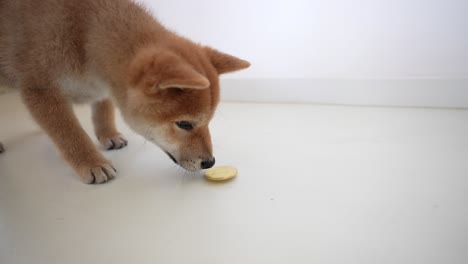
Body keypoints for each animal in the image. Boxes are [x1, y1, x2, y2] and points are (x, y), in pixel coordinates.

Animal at [0, 0, 250, 184]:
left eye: (209, 121)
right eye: (184, 124)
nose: (210, 163)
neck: (85, 36)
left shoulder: (104, 88)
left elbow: (103, 111)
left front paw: (108, 135)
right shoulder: (40, 89)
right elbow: (69, 132)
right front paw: (91, 162)